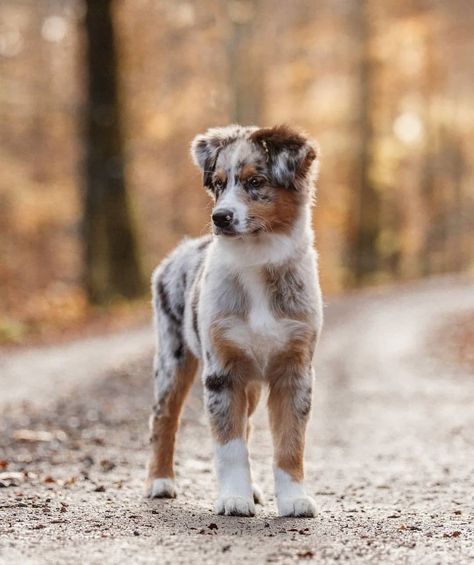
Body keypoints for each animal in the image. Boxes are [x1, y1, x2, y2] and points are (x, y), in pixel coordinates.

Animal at [146, 123, 324, 516]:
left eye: (256, 181)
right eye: (217, 183)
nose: (220, 217)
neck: (257, 260)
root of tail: (178, 251)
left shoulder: (294, 370)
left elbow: (289, 443)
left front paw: (294, 499)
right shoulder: (222, 372)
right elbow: (229, 446)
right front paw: (233, 499)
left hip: (251, 382)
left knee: (247, 425)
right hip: (173, 357)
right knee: (163, 417)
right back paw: (159, 482)